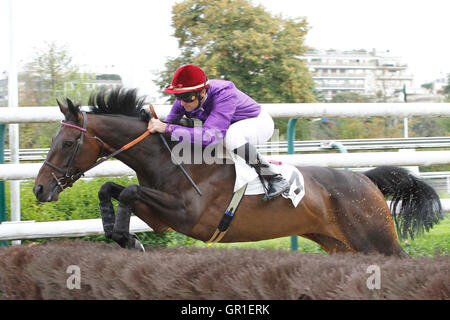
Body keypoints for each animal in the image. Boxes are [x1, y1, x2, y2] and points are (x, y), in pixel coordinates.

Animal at [32, 86, 442, 256]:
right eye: (53, 139)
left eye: (66, 143)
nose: (39, 189)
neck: (171, 161)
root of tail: (365, 179)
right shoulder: (161, 216)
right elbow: (112, 190)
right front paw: (122, 236)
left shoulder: (189, 214)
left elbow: (129, 191)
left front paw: (127, 239)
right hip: (341, 247)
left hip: (378, 241)